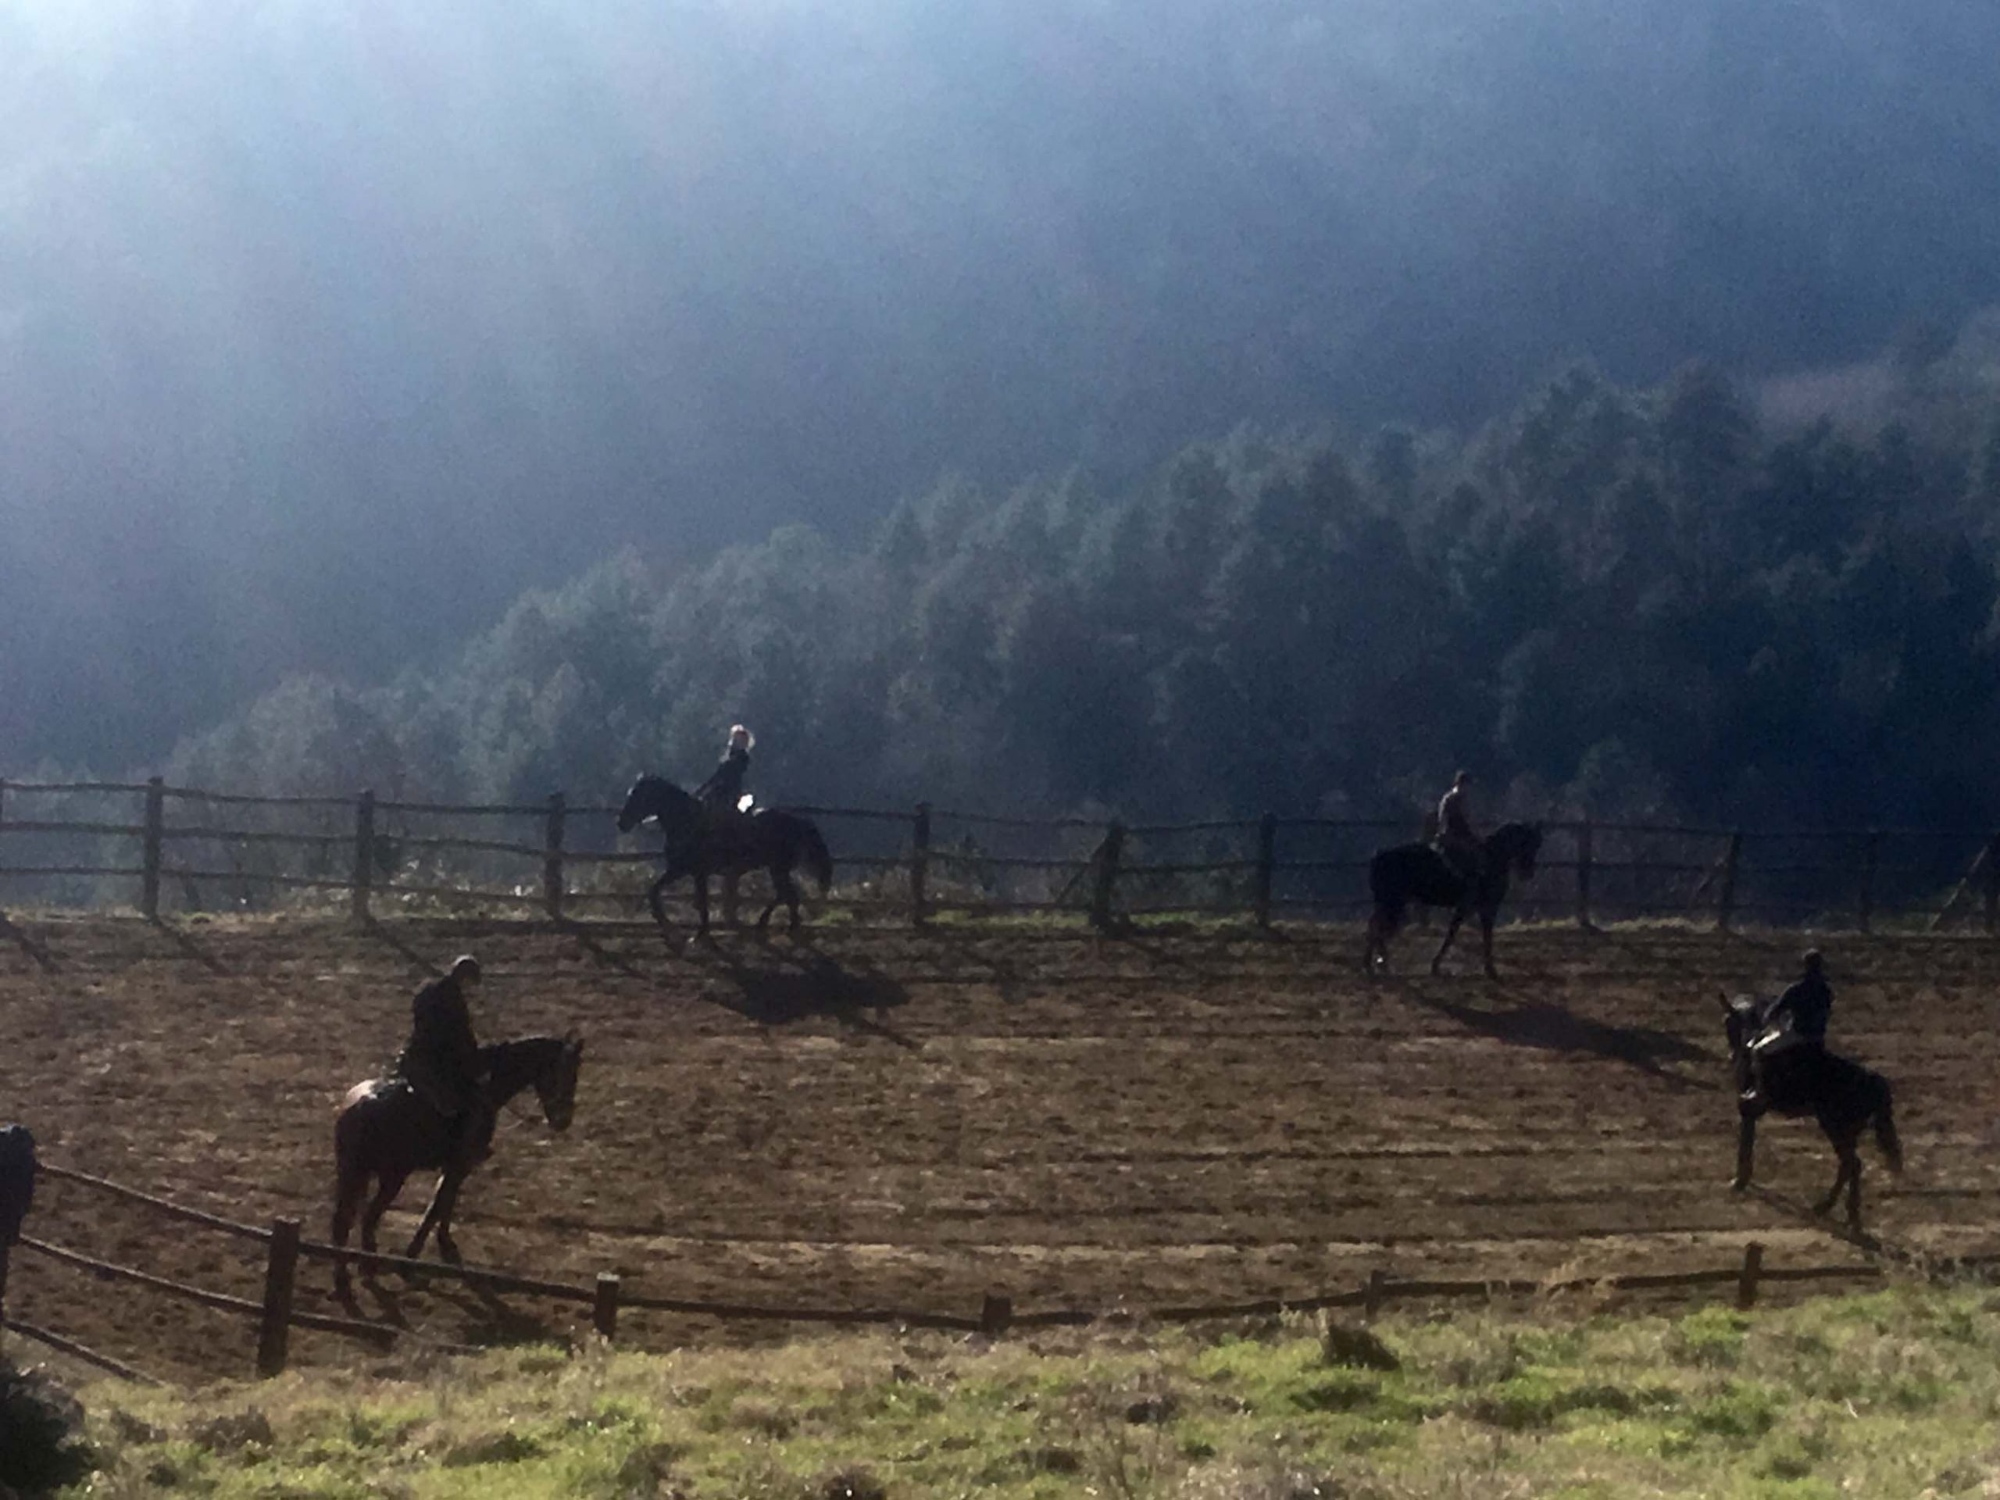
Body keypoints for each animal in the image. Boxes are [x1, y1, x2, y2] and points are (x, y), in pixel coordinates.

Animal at [330, 1033, 583, 1288]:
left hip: (353, 1172)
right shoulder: (460, 1165)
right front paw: (413, 1255)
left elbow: (444, 1202)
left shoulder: (452, 1167)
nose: (563, 1121)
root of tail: (362, 1104)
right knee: (367, 1218)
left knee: (344, 1219)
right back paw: (365, 1267)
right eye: (567, 1073)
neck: (487, 1089)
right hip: (391, 1177)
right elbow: (438, 1205)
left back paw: (348, 1273)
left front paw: (442, 1242)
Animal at [616, 773, 833, 937]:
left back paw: (783, 927)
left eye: (638, 796)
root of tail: (798, 822)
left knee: (788, 895)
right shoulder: (685, 871)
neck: (688, 823)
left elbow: (695, 901)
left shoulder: (687, 871)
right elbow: (660, 893)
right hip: (777, 869)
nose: (622, 823)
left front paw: (688, 931)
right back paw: (773, 925)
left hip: (778, 869)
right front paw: (679, 927)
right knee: (786, 895)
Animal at [1363, 821, 1543, 978]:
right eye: (1527, 843)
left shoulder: (1471, 908)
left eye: (1536, 845)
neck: (1491, 859)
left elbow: (1458, 933)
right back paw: (1380, 964)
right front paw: (1490, 970)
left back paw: (1374, 965)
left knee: (1375, 926)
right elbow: (1469, 935)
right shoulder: (1484, 907)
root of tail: (1379, 855)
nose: (1528, 872)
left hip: (1389, 903)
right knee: (1378, 928)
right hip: (1393, 903)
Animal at [1721, 995, 1900, 1231]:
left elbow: (1745, 1140)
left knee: (1851, 1164)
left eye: (1729, 1023)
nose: (1732, 1055)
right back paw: (1841, 1213)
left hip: (1835, 1128)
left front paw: (1739, 1180)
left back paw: (1835, 1210)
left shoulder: (1749, 1107)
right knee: (1851, 1165)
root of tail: (1872, 1080)